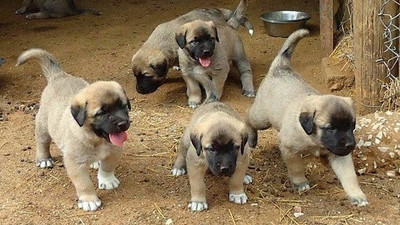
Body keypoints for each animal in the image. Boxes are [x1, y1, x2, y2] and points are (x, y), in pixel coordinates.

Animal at [16, 48, 131, 211]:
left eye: (123, 106)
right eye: (102, 113)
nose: (123, 124)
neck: (96, 139)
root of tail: (59, 75)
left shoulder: (114, 151)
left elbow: (107, 167)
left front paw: (107, 180)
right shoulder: (75, 162)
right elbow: (84, 184)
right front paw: (89, 200)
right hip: (43, 125)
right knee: (42, 142)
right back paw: (44, 159)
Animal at [247, 29, 368, 207]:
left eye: (351, 126)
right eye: (331, 128)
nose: (350, 145)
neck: (314, 138)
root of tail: (280, 68)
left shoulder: (340, 154)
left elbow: (349, 175)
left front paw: (357, 194)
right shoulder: (289, 148)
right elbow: (296, 167)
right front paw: (300, 182)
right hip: (261, 118)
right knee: (248, 117)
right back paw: (251, 137)